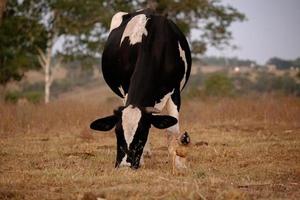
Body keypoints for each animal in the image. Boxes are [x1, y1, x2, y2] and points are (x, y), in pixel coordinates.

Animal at [89, 9, 192, 171]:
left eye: (142, 132)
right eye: (117, 131)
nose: (125, 165)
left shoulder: (175, 92)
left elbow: (172, 130)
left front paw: (179, 163)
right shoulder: (126, 89)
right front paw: (142, 158)